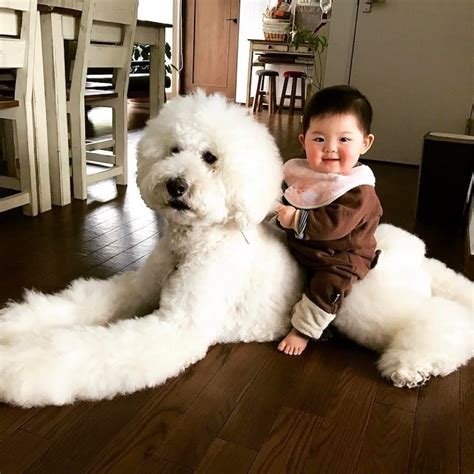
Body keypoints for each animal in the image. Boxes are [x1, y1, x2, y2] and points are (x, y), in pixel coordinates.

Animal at [0, 93, 472, 408]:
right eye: (174, 150)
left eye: (211, 158)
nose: (175, 186)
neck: (195, 243)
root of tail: (417, 254)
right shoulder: (134, 288)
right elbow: (78, 304)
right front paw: (14, 327)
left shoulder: (178, 326)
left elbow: (79, 350)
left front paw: (16, 364)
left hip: (362, 303)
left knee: (445, 319)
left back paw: (412, 366)